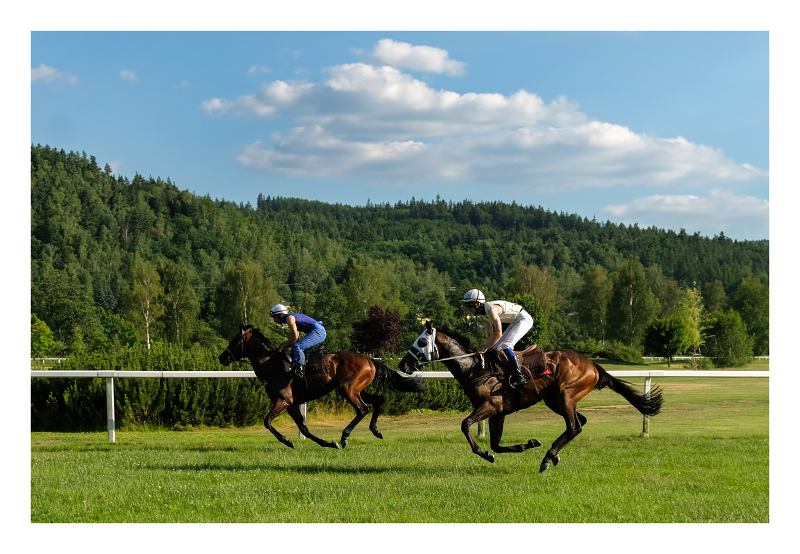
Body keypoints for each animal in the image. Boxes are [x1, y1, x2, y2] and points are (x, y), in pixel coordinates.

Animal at [219, 324, 424, 448]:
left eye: (235, 340)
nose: (222, 357)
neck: (271, 364)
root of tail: (370, 360)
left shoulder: (283, 400)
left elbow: (267, 421)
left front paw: (287, 441)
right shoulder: (292, 404)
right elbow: (304, 429)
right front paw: (327, 443)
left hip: (348, 389)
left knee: (363, 409)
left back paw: (344, 436)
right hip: (358, 389)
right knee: (379, 400)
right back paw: (375, 431)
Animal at [396, 322, 664, 472]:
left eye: (422, 341)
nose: (403, 364)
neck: (476, 369)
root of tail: (594, 366)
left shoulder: (490, 406)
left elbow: (465, 425)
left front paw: (485, 454)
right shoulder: (499, 413)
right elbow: (497, 444)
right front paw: (526, 444)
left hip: (565, 395)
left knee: (575, 426)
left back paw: (547, 459)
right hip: (555, 400)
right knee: (580, 422)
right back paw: (554, 455)